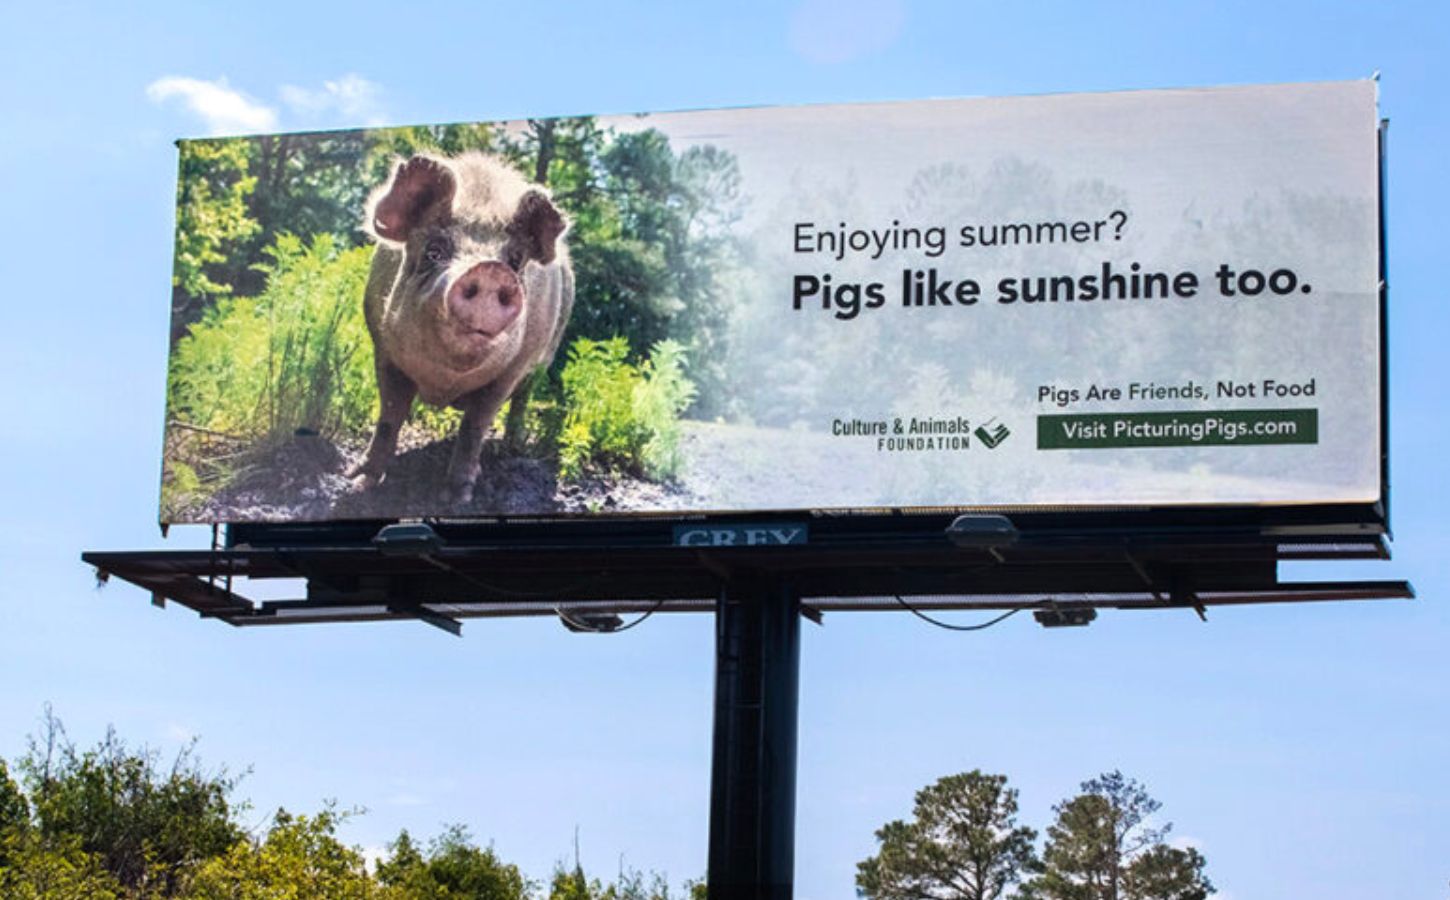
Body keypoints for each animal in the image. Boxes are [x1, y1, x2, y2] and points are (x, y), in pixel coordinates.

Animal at [348, 154, 574, 504]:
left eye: (515, 260)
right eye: (434, 251)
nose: (491, 270)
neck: (444, 384)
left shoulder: (511, 371)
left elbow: (475, 426)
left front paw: (457, 498)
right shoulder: (382, 347)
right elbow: (389, 414)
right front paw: (358, 483)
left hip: (541, 362)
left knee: (521, 402)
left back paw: (514, 447)